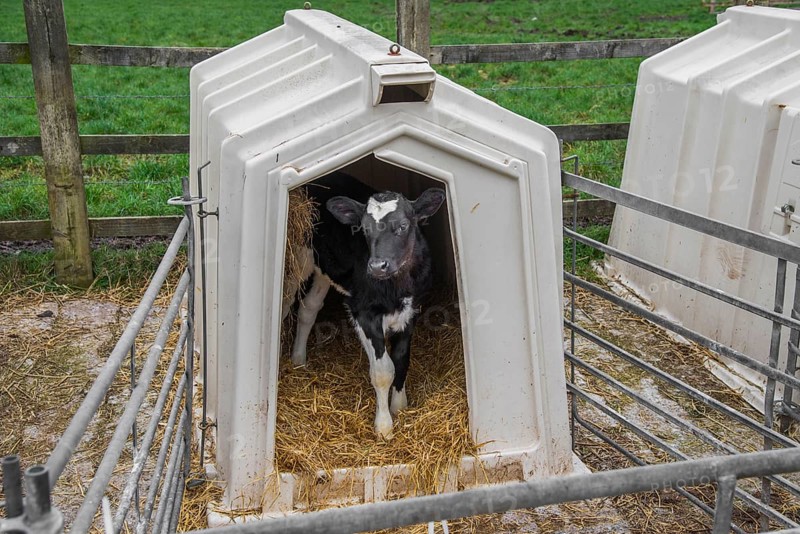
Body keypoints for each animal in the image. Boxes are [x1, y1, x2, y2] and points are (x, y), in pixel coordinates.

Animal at [287, 172, 446, 439]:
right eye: (364, 228)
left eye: (403, 226)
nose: (377, 266)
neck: (396, 288)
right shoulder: (363, 311)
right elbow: (383, 370)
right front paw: (384, 426)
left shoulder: (412, 309)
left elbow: (401, 359)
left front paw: (400, 406)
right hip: (300, 255)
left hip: (326, 268)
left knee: (309, 307)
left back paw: (298, 359)